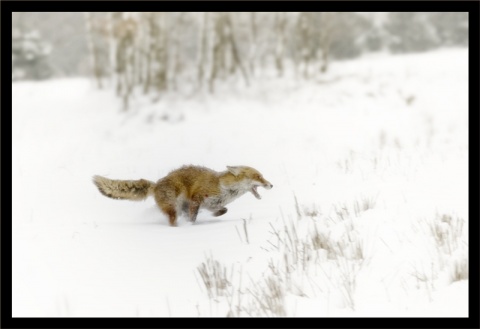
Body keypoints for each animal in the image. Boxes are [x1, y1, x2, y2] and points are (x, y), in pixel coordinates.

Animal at [93, 164, 274, 226]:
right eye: (258, 176)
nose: (271, 185)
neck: (225, 190)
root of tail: (156, 184)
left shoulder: (212, 204)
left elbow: (222, 211)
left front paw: (213, 217)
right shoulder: (197, 198)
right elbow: (193, 217)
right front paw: (191, 227)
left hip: (179, 208)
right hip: (174, 208)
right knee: (172, 221)